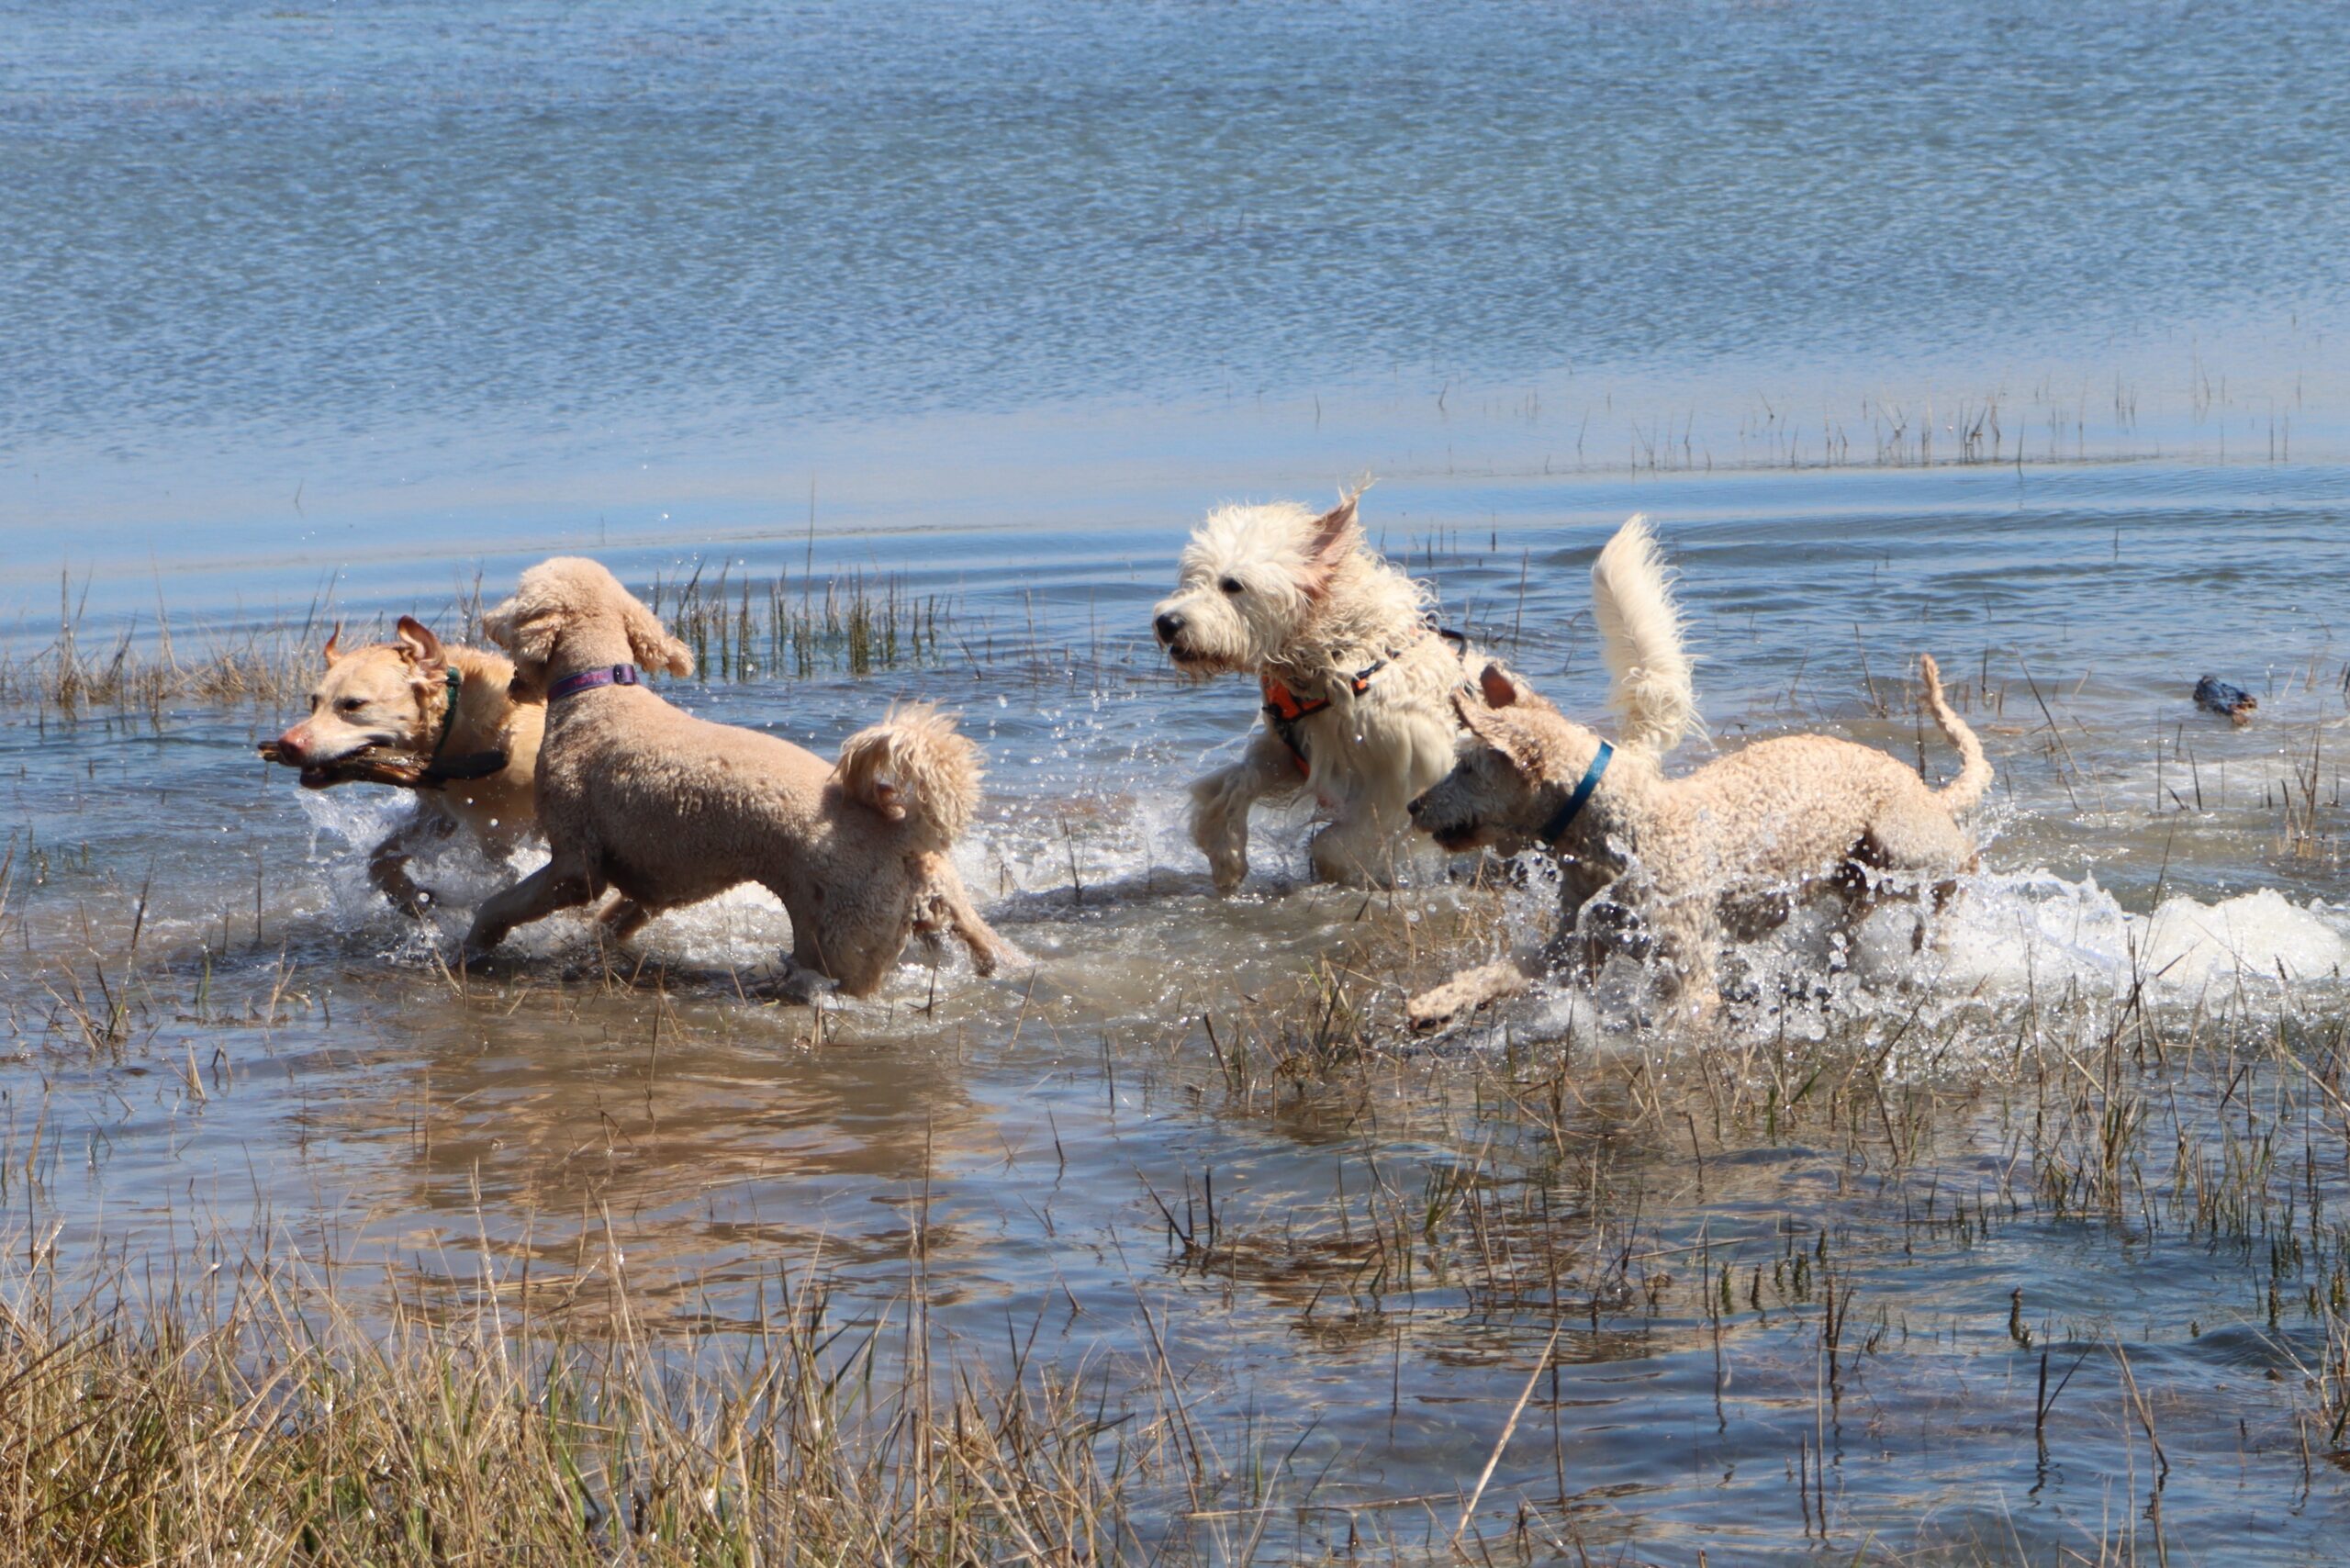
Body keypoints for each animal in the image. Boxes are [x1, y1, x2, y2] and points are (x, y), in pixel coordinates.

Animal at [463, 556, 1005, 1001]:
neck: (597, 692)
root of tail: (904, 832)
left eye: (517, 596)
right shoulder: (656, 880)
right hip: (952, 917)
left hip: (841, 944)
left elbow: (500, 905)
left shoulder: (575, 864)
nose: (487, 618)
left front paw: (472, 945)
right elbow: (615, 917)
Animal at [1151, 502, 1692, 893]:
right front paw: (1226, 856)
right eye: (1191, 578)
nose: (1166, 622)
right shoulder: (1293, 750)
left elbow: (1338, 842)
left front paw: (1348, 873)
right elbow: (1234, 784)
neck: (1344, 659)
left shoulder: (1410, 770)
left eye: (1233, 584)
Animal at [1400, 653, 1992, 1029]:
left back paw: (1937, 937)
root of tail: (1924, 789)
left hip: (1898, 844)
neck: (1618, 832)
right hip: (1857, 877)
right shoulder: (1573, 946)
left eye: (1468, 769)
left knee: (1964, 864)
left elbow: (1682, 1017)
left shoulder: (1687, 969)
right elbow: (1506, 971)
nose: (1413, 806)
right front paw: (1437, 1002)